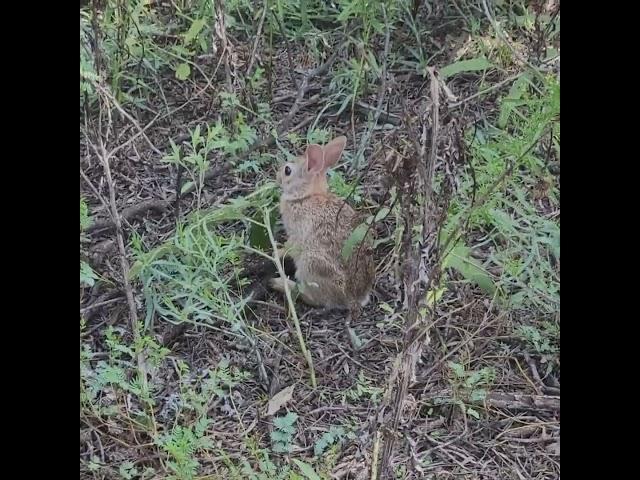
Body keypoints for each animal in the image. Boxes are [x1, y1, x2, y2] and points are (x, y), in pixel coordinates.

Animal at [268, 136, 376, 344]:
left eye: (288, 170)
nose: (277, 175)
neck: (305, 196)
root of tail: (354, 298)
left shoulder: (296, 236)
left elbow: (288, 248)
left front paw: (276, 251)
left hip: (310, 265)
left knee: (312, 297)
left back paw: (279, 283)